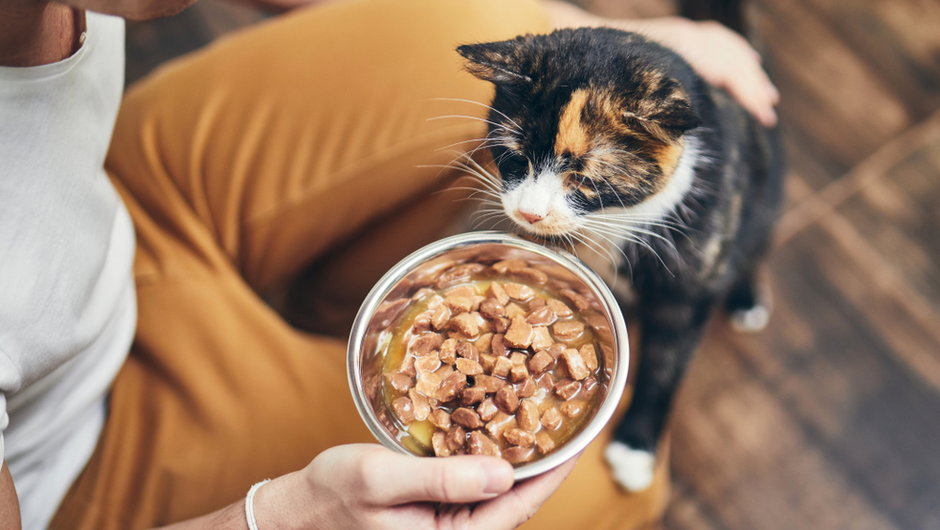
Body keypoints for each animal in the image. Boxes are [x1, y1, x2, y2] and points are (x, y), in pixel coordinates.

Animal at [456, 26, 784, 488]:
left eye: (584, 179)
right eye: (515, 157)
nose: (529, 213)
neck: (611, 222)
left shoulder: (687, 288)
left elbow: (665, 364)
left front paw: (635, 447)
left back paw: (746, 297)